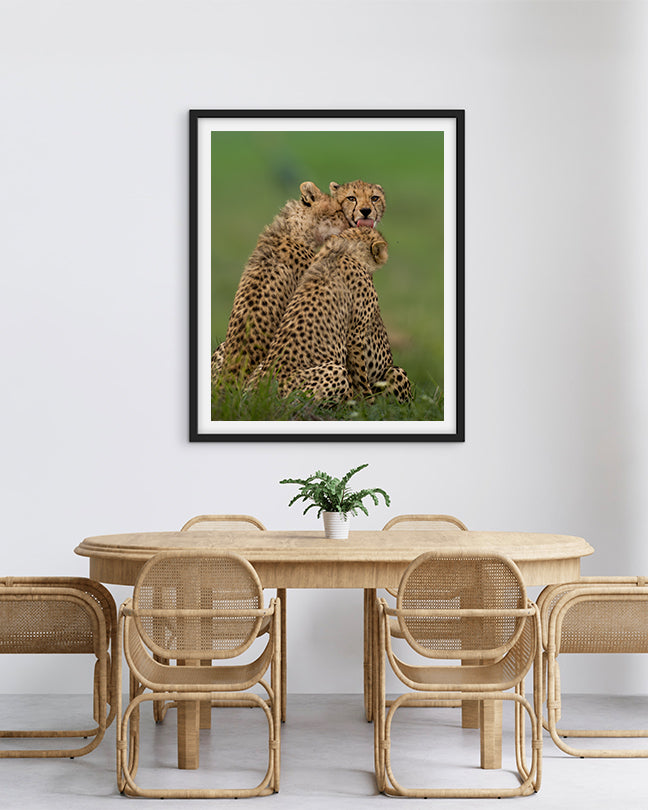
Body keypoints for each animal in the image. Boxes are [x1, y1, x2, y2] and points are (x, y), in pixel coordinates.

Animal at [248, 227, 412, 404]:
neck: (344, 248)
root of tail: (261, 392)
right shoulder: (355, 337)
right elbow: (361, 378)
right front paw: (368, 403)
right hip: (340, 371)